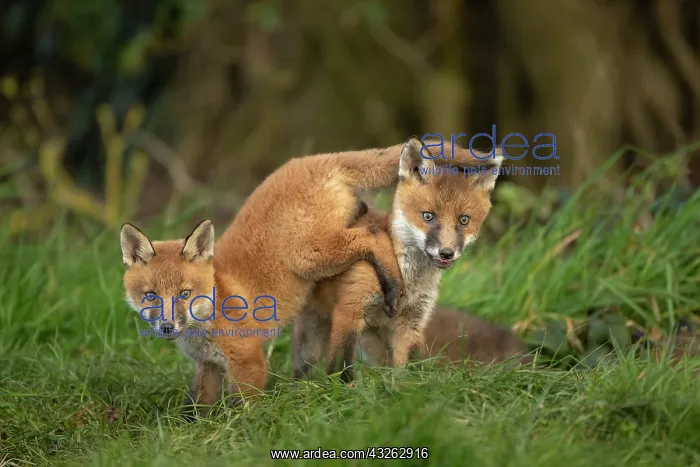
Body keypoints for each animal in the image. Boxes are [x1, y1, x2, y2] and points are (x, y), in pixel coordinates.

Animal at [119, 136, 477, 415]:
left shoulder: (249, 362)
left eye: (184, 294)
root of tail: (318, 158)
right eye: (151, 296)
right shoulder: (207, 367)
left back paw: (392, 285)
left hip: (314, 255)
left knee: (373, 237)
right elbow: (195, 409)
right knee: (371, 225)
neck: (215, 303)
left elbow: (244, 410)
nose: (167, 327)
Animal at [291, 140, 504, 382]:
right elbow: (341, 368)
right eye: (428, 216)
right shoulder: (349, 311)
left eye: (464, 220)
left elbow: (405, 371)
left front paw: (400, 388)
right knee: (303, 368)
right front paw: (342, 389)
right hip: (312, 339)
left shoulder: (411, 324)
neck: (406, 280)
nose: (446, 253)